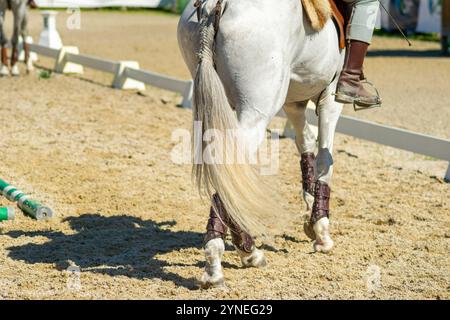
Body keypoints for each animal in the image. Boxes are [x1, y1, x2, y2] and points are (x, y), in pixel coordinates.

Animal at [178, 0, 342, 288]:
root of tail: (214, 5)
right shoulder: (330, 98)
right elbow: (325, 157)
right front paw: (321, 230)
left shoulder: (294, 102)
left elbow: (306, 144)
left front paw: (309, 216)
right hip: (258, 110)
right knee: (230, 168)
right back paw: (218, 263)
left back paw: (246, 250)